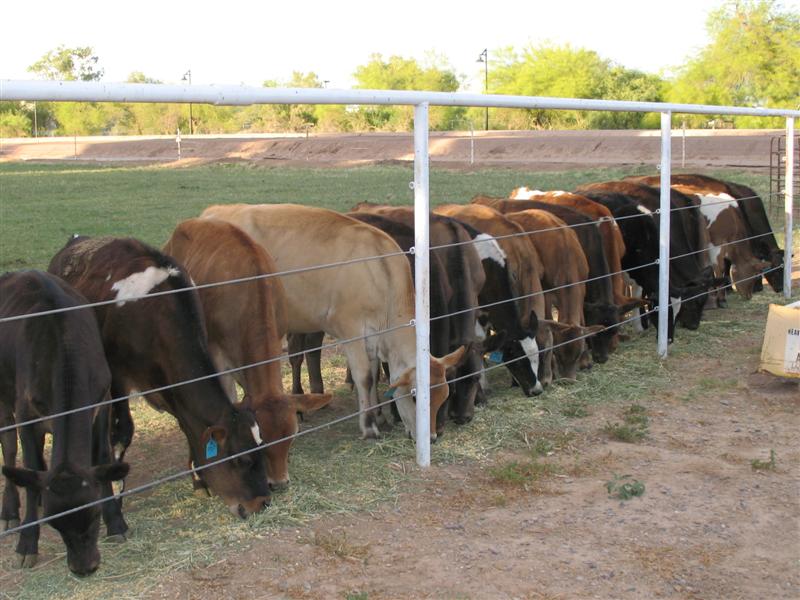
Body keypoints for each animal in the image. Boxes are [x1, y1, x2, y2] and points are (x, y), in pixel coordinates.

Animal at [0, 270, 129, 575]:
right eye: (53, 522)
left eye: (94, 512)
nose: (84, 568)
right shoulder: (25, 410)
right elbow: (30, 464)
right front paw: (27, 544)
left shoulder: (102, 400)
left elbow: (101, 456)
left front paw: (116, 523)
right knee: (9, 447)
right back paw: (10, 511)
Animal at [48, 236, 271, 519]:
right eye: (241, 459)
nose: (263, 502)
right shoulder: (118, 377)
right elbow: (122, 432)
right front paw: (116, 498)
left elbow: (188, 427)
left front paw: (199, 480)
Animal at [199, 204, 465, 441]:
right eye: (415, 398)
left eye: (444, 396)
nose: (432, 438)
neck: (380, 274)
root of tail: (211, 213)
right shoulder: (351, 329)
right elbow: (364, 377)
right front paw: (369, 427)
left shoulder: (371, 338)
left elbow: (372, 375)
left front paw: (379, 416)